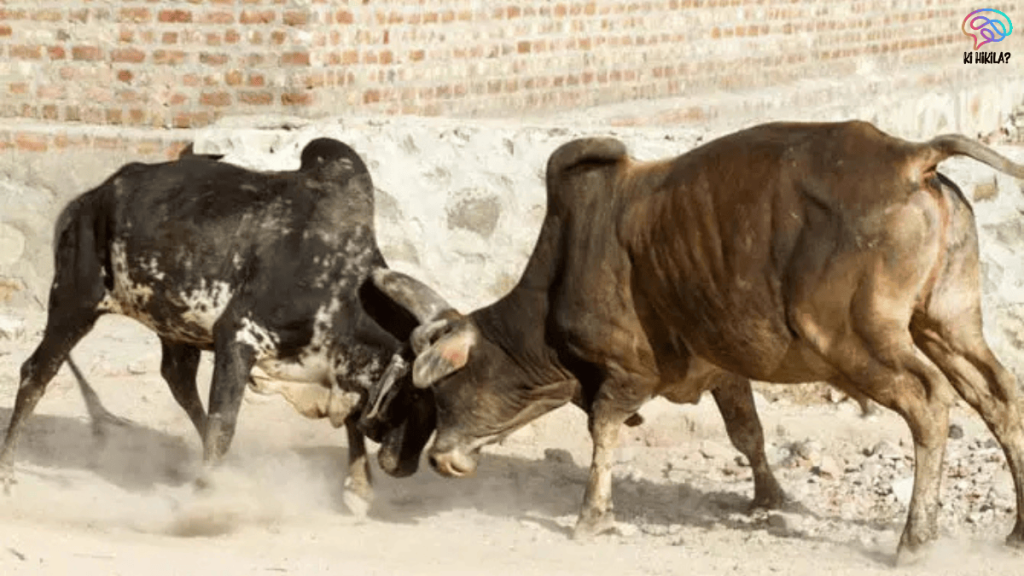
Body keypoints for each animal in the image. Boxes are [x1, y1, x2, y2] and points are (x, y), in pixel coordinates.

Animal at [0, 138, 441, 514]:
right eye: (420, 397)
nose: (406, 466)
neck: (341, 283)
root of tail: (90, 199)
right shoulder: (239, 336)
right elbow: (223, 423)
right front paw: (207, 500)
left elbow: (349, 417)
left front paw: (358, 490)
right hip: (73, 304)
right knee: (36, 373)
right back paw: (7, 473)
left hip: (174, 326)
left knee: (177, 379)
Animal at [367, 121, 1024, 562]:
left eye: (439, 390)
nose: (436, 458)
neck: (564, 265)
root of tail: (909, 157)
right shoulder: (722, 369)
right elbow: (748, 435)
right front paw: (769, 498)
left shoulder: (624, 374)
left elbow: (603, 433)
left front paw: (591, 518)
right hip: (949, 323)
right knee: (1000, 397)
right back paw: (1015, 531)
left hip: (854, 340)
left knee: (930, 403)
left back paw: (915, 539)